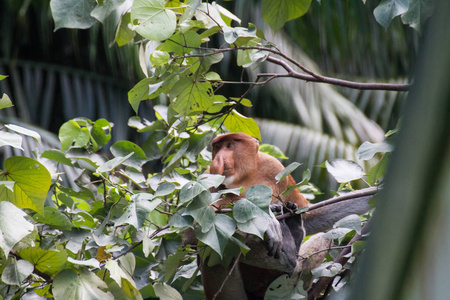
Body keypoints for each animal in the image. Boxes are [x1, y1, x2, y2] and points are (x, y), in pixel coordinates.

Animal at [193, 132, 370, 298]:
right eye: (217, 148)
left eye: (229, 145)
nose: (218, 160)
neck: (245, 176)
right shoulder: (208, 177)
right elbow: (201, 225)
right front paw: (268, 219)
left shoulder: (274, 166)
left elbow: (309, 215)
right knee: (215, 250)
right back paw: (289, 256)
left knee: (324, 237)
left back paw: (293, 234)